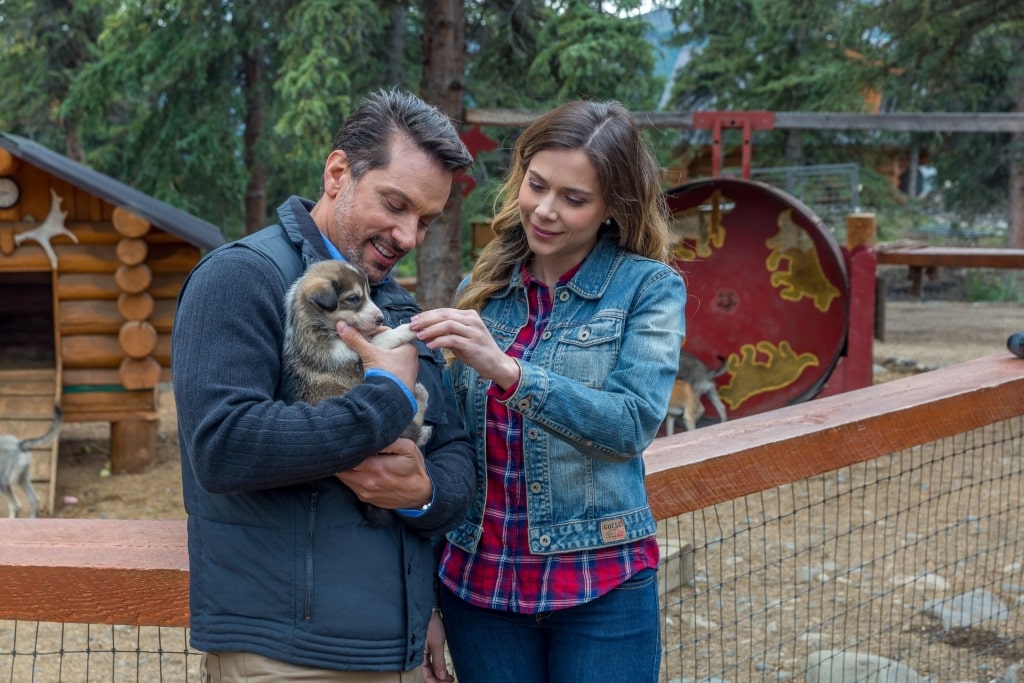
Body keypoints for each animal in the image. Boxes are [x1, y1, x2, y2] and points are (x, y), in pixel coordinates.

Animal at [284, 259, 432, 528]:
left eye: (369, 294)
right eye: (353, 299)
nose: (381, 317)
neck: (317, 324)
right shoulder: (356, 357)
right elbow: (384, 338)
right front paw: (407, 329)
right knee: (413, 432)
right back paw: (420, 400)